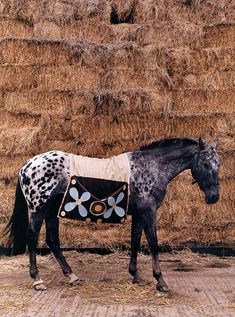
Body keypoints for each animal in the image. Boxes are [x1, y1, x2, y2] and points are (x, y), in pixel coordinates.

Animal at [3, 137, 220, 290]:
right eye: (206, 164)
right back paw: (37, 280)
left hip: (51, 211)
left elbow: (135, 242)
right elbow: (153, 244)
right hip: (38, 210)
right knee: (32, 239)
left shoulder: (138, 214)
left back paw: (71, 276)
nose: (214, 197)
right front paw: (161, 281)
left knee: (52, 240)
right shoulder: (148, 213)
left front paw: (136, 276)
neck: (152, 168)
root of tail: (27, 165)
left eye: (218, 165)